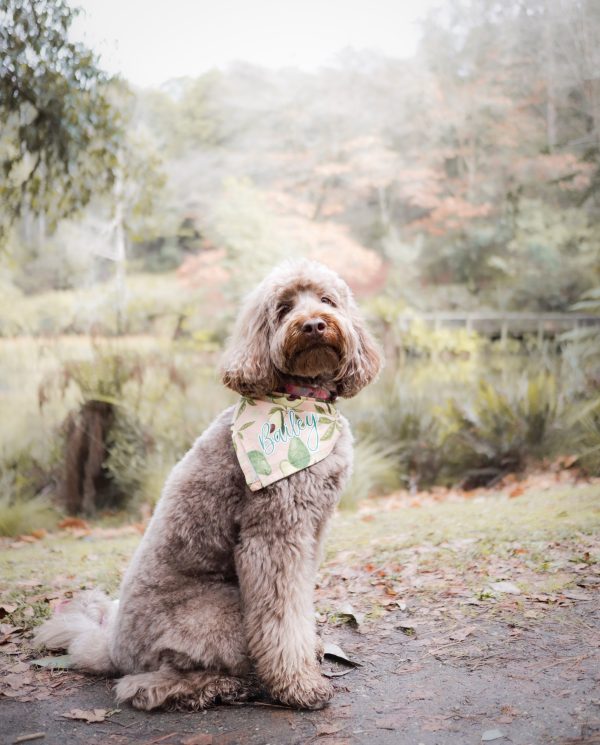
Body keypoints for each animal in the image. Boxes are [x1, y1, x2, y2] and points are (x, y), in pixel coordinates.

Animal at [35, 260, 382, 708]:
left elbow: (300, 602)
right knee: (143, 684)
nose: (314, 325)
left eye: (327, 300)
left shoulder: (312, 531)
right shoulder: (272, 536)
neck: (301, 401)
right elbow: (281, 614)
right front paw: (297, 684)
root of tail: (111, 647)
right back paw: (221, 686)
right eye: (284, 308)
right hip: (222, 610)